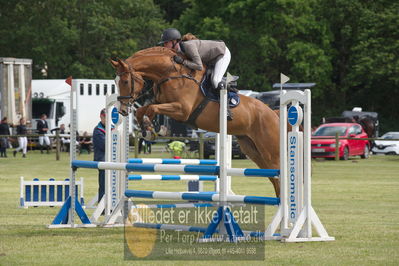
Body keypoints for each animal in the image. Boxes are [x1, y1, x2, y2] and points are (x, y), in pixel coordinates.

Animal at [109, 46, 282, 196]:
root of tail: (273, 113)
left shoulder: (182, 110)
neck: (171, 74)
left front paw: (153, 129)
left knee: (279, 174)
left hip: (270, 152)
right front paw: (147, 130)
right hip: (253, 150)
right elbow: (143, 110)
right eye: (116, 82)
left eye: (125, 82)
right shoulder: (163, 103)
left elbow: (152, 109)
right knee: (274, 178)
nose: (122, 110)